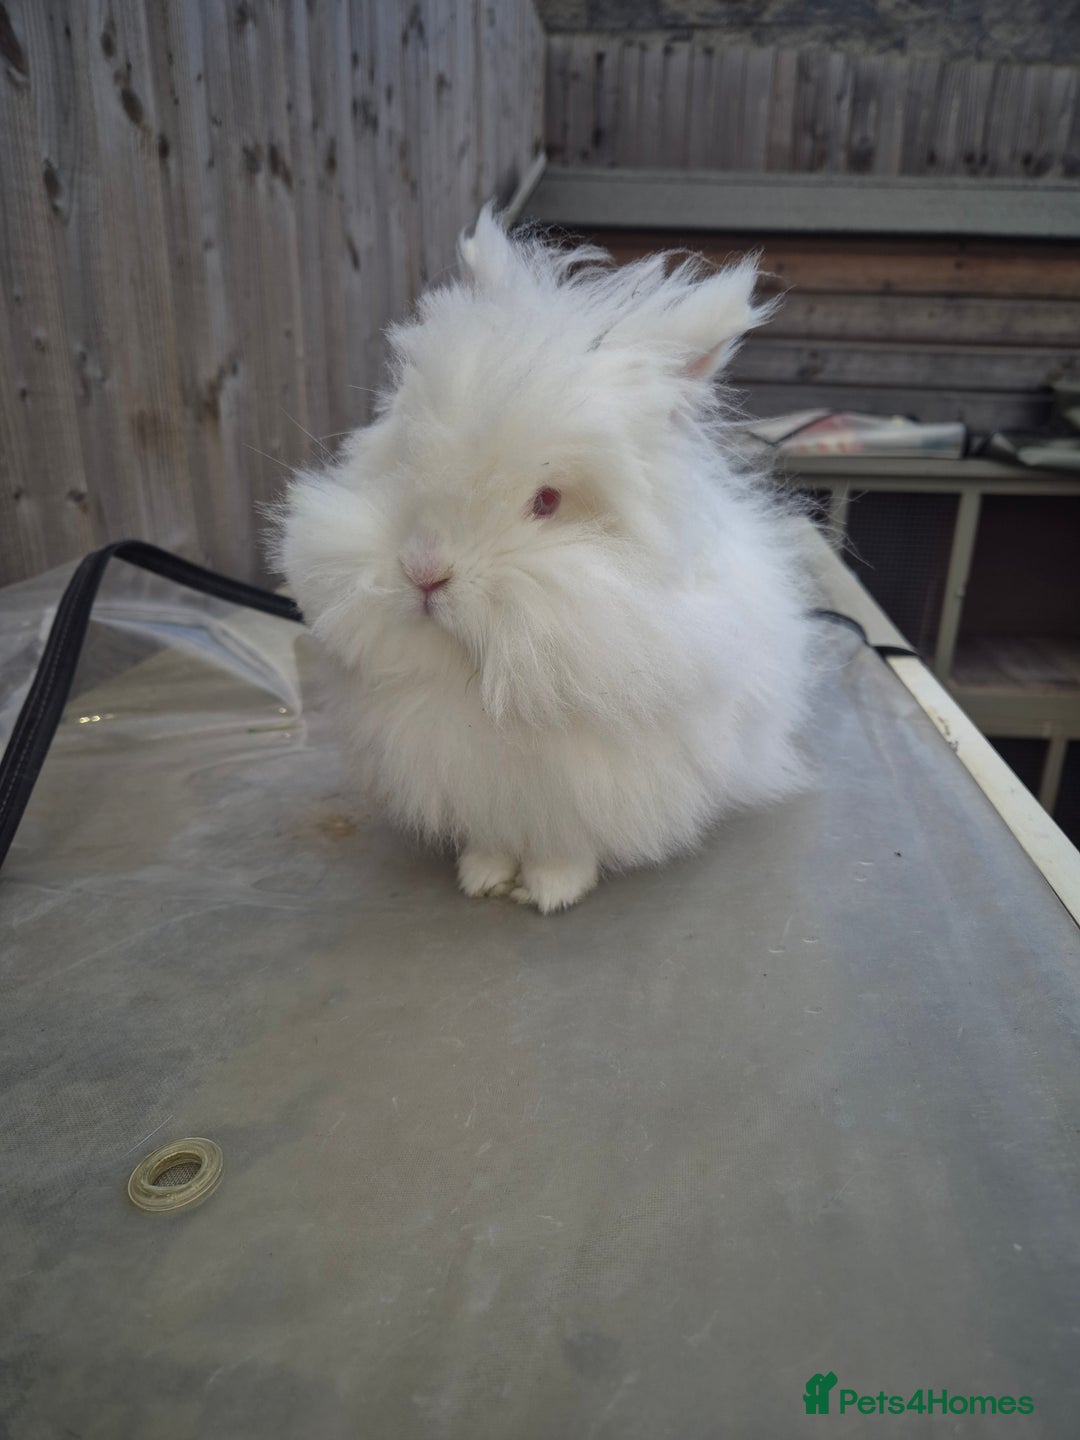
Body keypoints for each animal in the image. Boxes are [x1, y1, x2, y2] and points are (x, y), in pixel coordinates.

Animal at [273, 205, 813, 913]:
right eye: (409, 461)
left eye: (548, 500)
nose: (424, 572)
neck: (486, 679)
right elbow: (494, 839)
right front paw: (482, 876)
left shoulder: (588, 787)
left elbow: (564, 844)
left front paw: (552, 890)